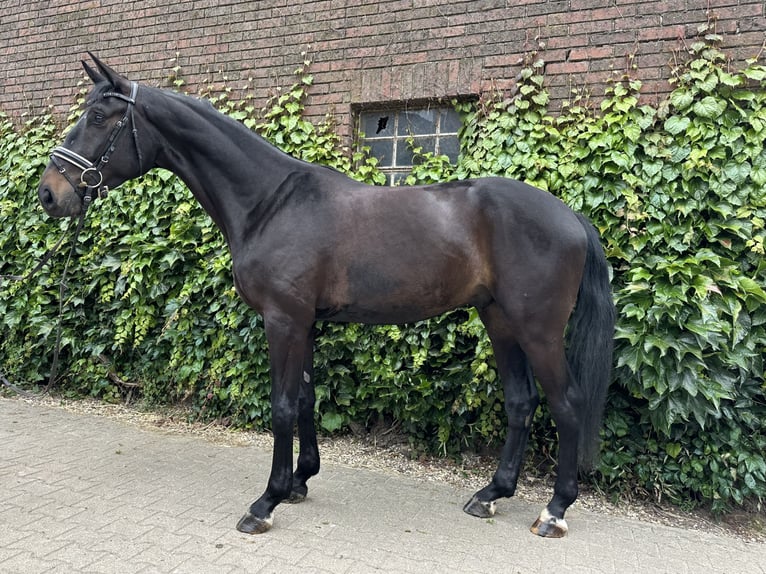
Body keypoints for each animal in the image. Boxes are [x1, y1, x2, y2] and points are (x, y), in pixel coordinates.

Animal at [37, 54, 615, 538]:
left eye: (98, 117)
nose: (49, 194)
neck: (271, 203)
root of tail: (570, 216)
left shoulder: (283, 320)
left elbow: (280, 407)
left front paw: (266, 502)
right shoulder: (307, 324)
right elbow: (306, 400)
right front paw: (299, 482)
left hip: (538, 330)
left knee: (566, 403)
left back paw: (554, 511)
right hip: (499, 321)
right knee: (521, 402)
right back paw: (492, 494)